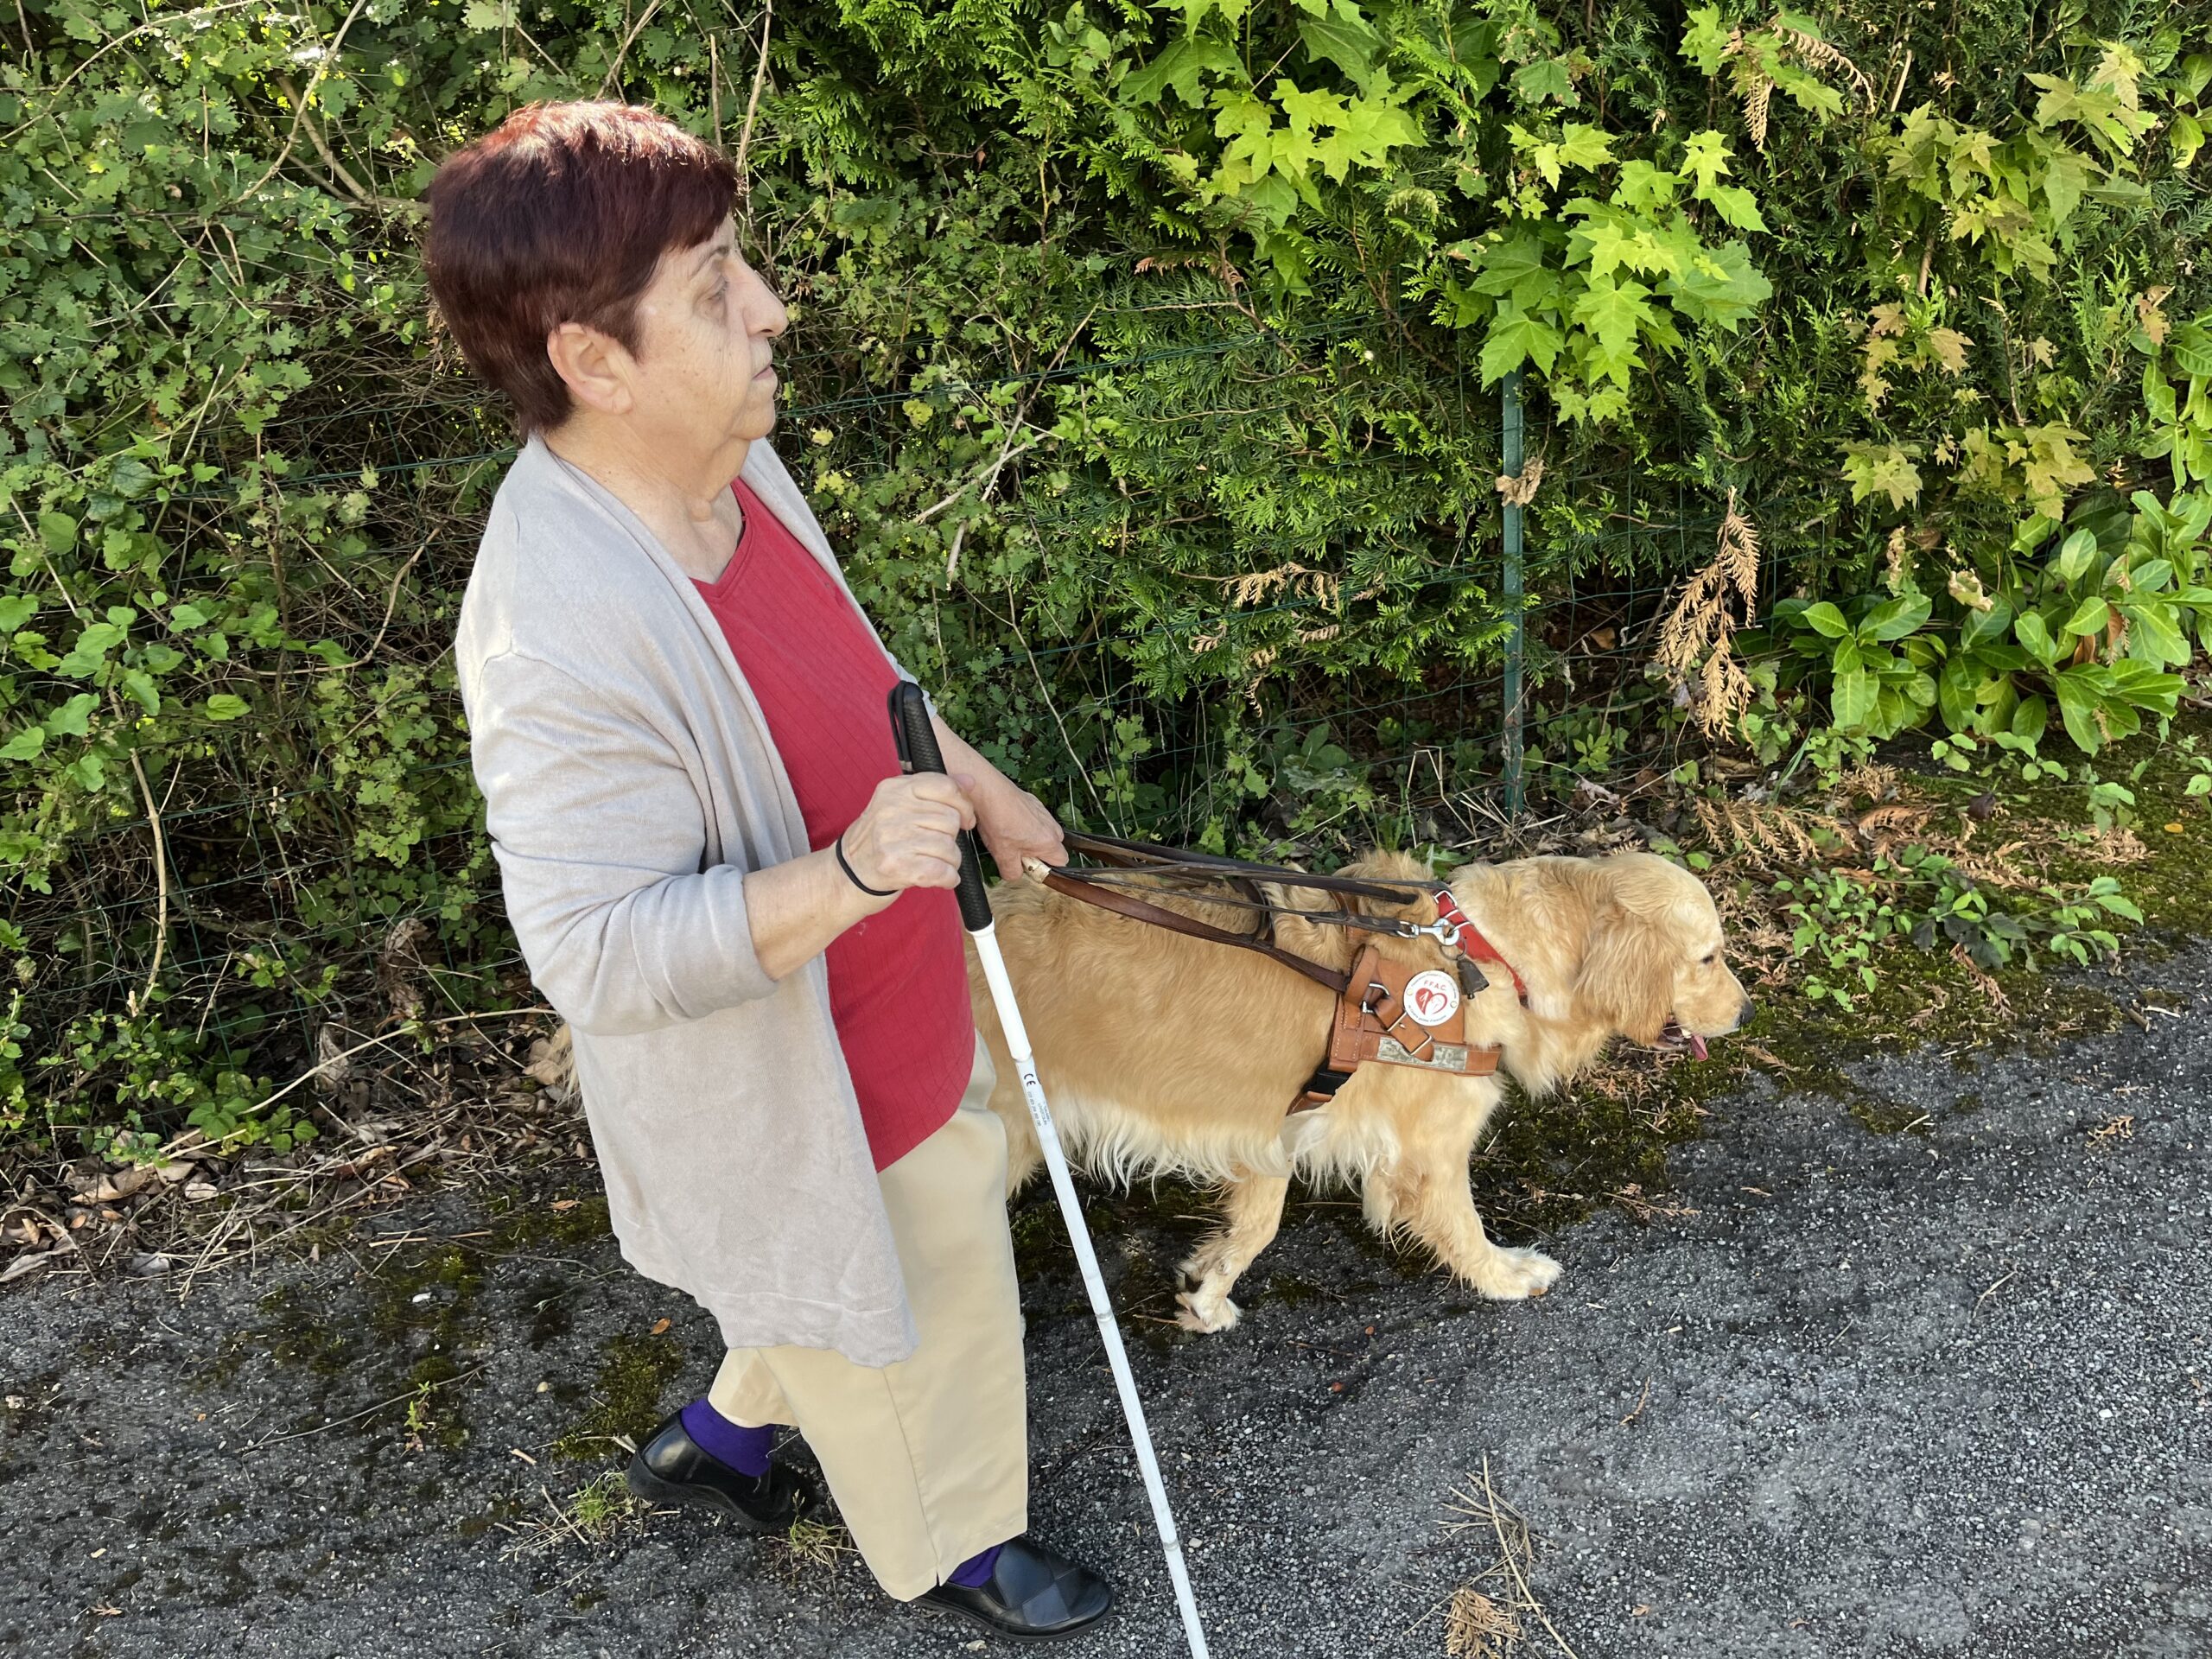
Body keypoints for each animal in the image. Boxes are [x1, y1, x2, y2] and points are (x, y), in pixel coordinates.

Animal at [969, 849, 1743, 1336]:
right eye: (1708, 957)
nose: (1749, 1011)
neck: (1483, 960)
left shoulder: (1273, 1124)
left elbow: (1256, 1227)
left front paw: (1206, 1292)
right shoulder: (1429, 1151)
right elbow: (1464, 1228)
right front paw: (1505, 1275)